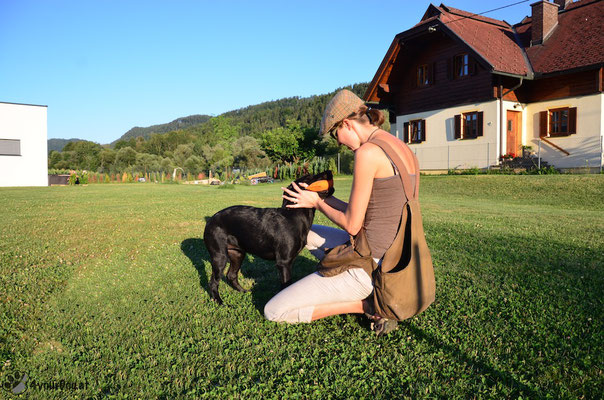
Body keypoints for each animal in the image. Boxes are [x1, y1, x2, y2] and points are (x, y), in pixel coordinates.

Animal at [204, 170, 336, 304]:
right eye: (308, 177)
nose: (329, 171)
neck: (293, 216)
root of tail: (211, 220)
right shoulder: (284, 262)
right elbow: (286, 285)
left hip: (237, 254)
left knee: (231, 275)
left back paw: (243, 291)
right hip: (220, 256)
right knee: (213, 282)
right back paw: (219, 301)